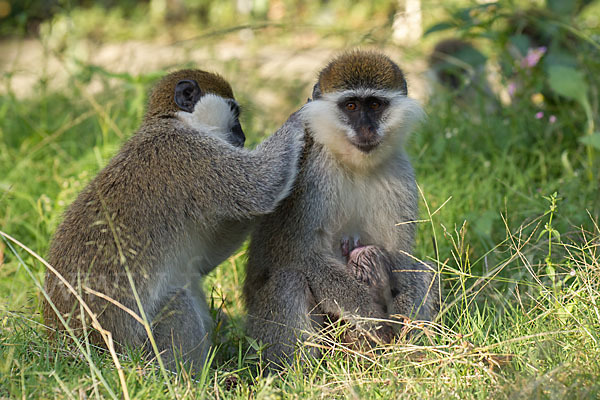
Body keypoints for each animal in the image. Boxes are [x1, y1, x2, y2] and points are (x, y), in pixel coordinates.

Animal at [43, 68, 304, 368]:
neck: (175, 121)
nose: (243, 135)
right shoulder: (192, 155)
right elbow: (259, 187)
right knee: (178, 302)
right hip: (143, 351)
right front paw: (303, 116)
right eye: (234, 113)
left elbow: (204, 257)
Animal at [244, 50, 440, 368]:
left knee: (424, 270)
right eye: (350, 105)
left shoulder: (399, 169)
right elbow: (305, 256)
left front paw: (403, 321)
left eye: (374, 105)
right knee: (289, 281)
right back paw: (303, 372)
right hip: (263, 334)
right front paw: (373, 317)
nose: (366, 129)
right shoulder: (312, 175)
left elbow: (401, 255)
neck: (352, 163)